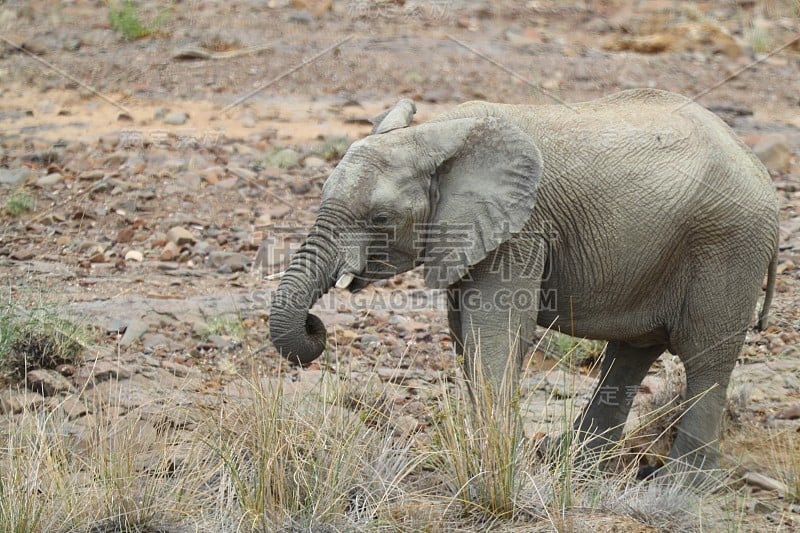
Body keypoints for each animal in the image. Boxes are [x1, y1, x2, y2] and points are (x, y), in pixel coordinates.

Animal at [270, 89, 780, 484]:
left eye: (379, 219)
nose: (315, 324)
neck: (438, 132)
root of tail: (760, 173)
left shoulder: (521, 230)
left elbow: (496, 332)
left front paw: (499, 464)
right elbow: (466, 337)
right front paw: (490, 456)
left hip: (728, 245)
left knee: (704, 357)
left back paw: (682, 485)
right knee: (632, 351)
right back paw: (571, 462)